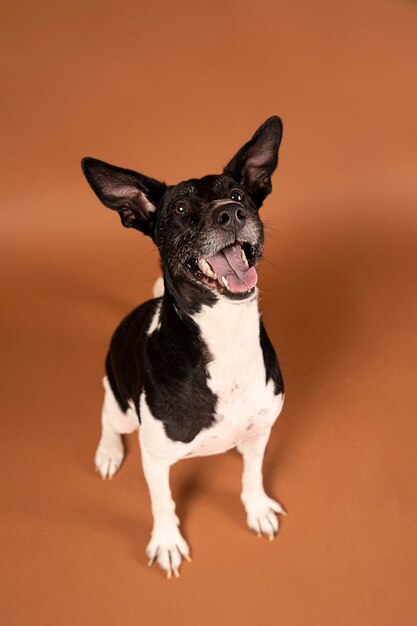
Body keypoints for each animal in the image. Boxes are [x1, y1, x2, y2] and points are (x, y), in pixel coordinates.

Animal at [79, 116, 284, 576]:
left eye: (239, 194)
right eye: (180, 209)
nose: (231, 212)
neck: (225, 334)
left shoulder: (263, 430)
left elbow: (253, 473)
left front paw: (257, 507)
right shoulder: (155, 459)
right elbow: (163, 502)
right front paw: (167, 542)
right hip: (121, 408)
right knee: (106, 413)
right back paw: (107, 452)